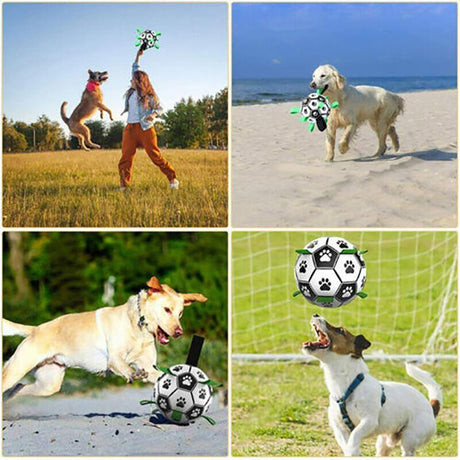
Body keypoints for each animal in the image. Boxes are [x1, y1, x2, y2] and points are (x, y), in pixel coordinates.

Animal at [1, 276, 207, 402]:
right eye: (166, 310)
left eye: (180, 313)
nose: (179, 332)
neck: (137, 327)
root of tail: (34, 329)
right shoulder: (114, 358)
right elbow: (124, 366)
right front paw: (132, 374)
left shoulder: (149, 367)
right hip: (18, 369)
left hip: (48, 384)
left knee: (18, 388)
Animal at [302, 314, 442, 454]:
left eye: (340, 330)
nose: (316, 315)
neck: (349, 385)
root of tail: (431, 407)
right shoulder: (339, 427)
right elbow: (346, 444)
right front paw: (353, 452)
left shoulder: (369, 421)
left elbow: (355, 436)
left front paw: (353, 450)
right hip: (383, 443)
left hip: (410, 439)